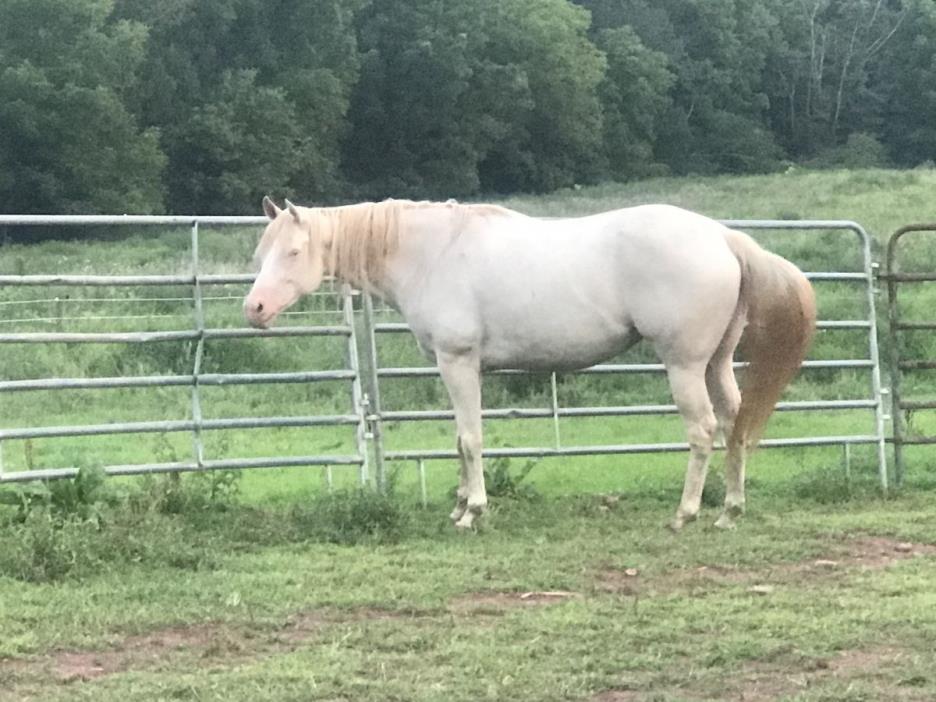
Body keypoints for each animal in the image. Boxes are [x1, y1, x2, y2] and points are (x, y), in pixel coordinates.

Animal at [245, 195, 816, 532]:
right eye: (261, 253)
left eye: (293, 252)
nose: (254, 309)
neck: (430, 253)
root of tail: (722, 238)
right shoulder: (452, 367)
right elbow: (459, 439)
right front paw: (460, 504)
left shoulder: (459, 362)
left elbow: (470, 438)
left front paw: (472, 512)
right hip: (716, 363)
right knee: (735, 424)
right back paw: (730, 510)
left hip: (684, 365)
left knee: (702, 431)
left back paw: (685, 514)